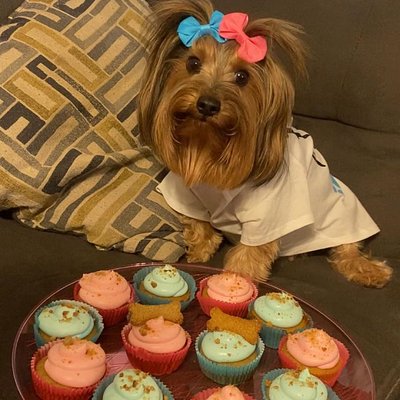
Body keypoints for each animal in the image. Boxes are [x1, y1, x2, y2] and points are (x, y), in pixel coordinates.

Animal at [138, 0, 392, 288]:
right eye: (193, 63)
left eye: (242, 76)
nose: (207, 105)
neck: (210, 146)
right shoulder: (187, 194)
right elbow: (196, 223)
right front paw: (200, 249)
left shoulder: (267, 214)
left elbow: (250, 254)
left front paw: (234, 281)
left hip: (342, 214)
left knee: (347, 248)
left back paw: (368, 269)